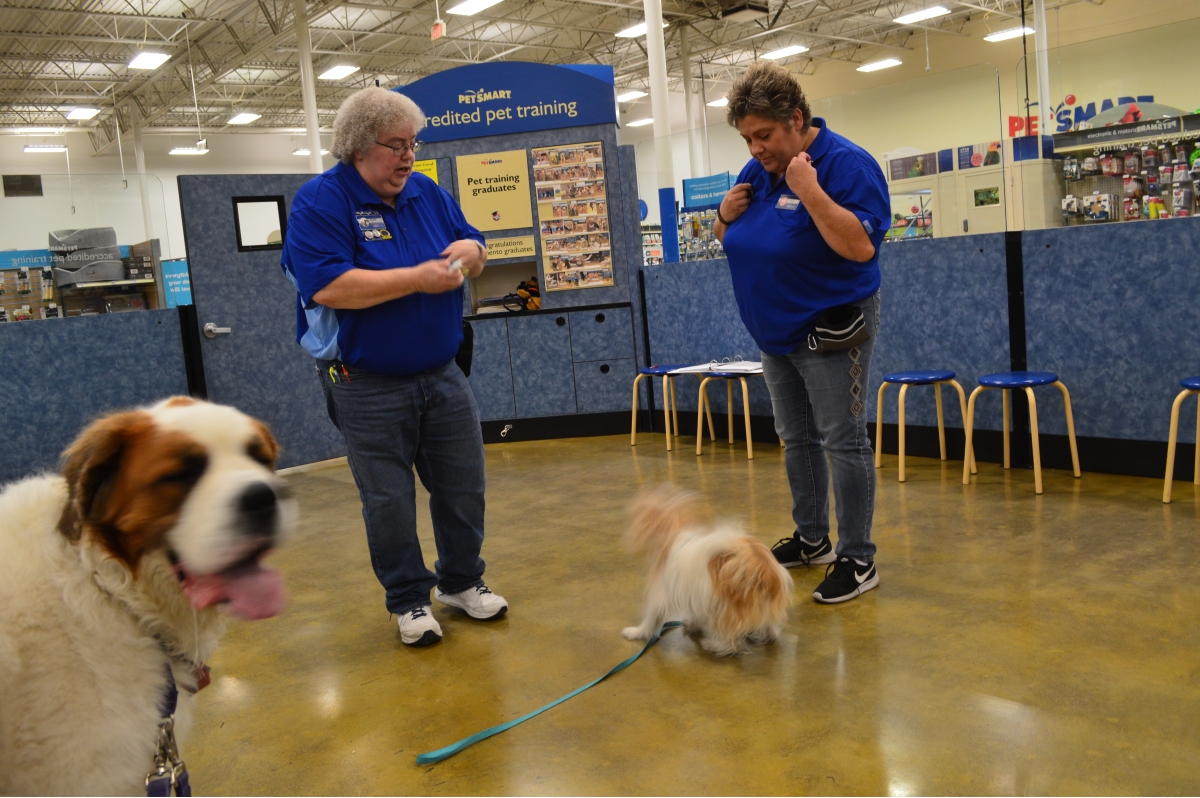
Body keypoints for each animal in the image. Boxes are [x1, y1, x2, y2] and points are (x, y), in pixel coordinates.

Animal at [622, 486, 792, 656]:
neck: (675, 532)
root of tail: (763, 570)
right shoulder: (698, 597)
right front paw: (693, 625)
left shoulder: (662, 593)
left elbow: (651, 617)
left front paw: (636, 632)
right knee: (771, 628)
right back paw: (767, 636)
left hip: (725, 610)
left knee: (733, 644)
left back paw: (713, 645)